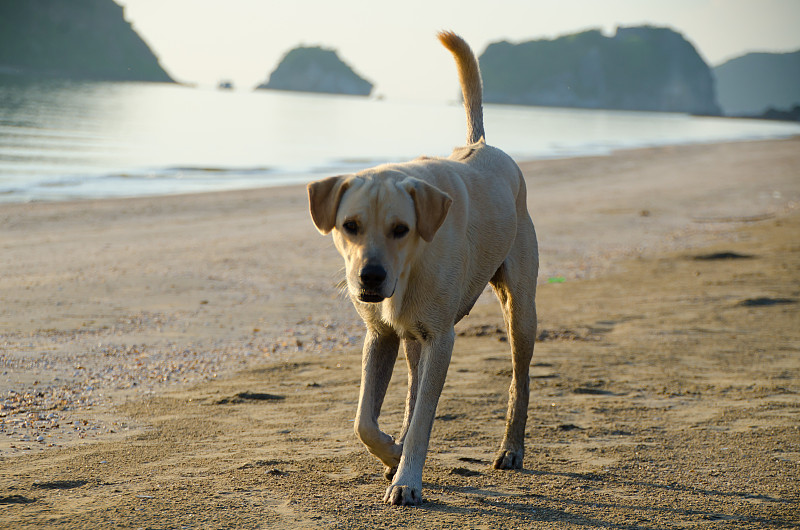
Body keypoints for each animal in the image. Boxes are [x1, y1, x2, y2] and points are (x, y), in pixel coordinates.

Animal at [306, 31, 536, 506]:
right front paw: (392, 453)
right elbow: (364, 420)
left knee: (519, 378)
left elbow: (424, 418)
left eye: (401, 229)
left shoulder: (442, 338)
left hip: (520, 309)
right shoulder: (380, 335)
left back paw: (511, 448)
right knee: (412, 387)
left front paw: (407, 478)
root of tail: (482, 145)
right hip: (413, 337)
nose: (370, 277)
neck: (410, 267)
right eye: (350, 225)